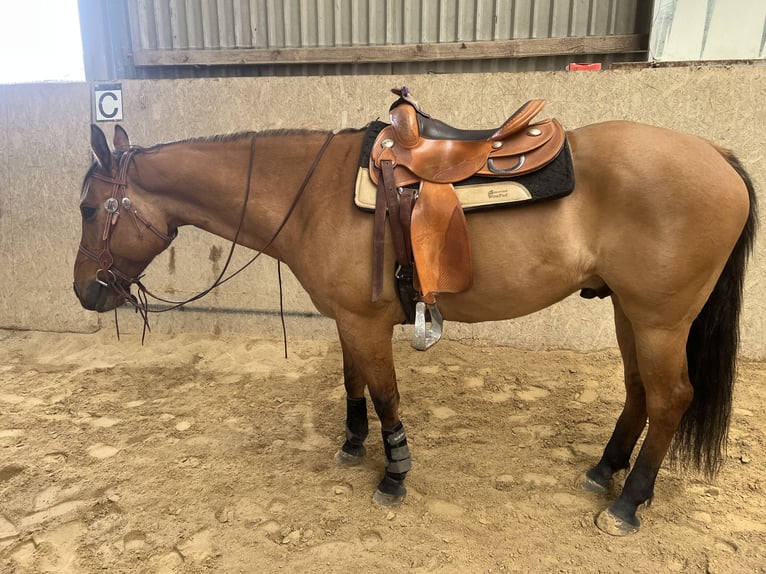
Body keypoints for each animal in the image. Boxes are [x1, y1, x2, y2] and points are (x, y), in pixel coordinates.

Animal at [73, 110, 756, 536]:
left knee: (670, 397)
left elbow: (384, 393)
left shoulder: (366, 321)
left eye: (88, 208)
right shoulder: (349, 319)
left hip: (661, 319)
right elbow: (353, 383)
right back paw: (603, 471)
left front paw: (394, 474)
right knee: (639, 390)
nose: (84, 292)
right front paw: (352, 445)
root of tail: (717, 156)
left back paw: (629, 502)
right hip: (627, 311)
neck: (311, 193)